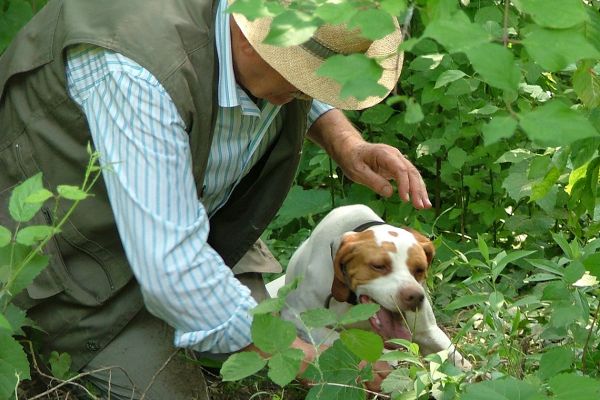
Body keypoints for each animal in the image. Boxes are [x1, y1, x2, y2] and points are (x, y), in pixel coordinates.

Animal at [264, 205, 472, 370]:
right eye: (378, 266)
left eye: (420, 269)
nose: (414, 297)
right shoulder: (297, 320)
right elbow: (339, 338)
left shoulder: (428, 332)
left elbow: (458, 360)